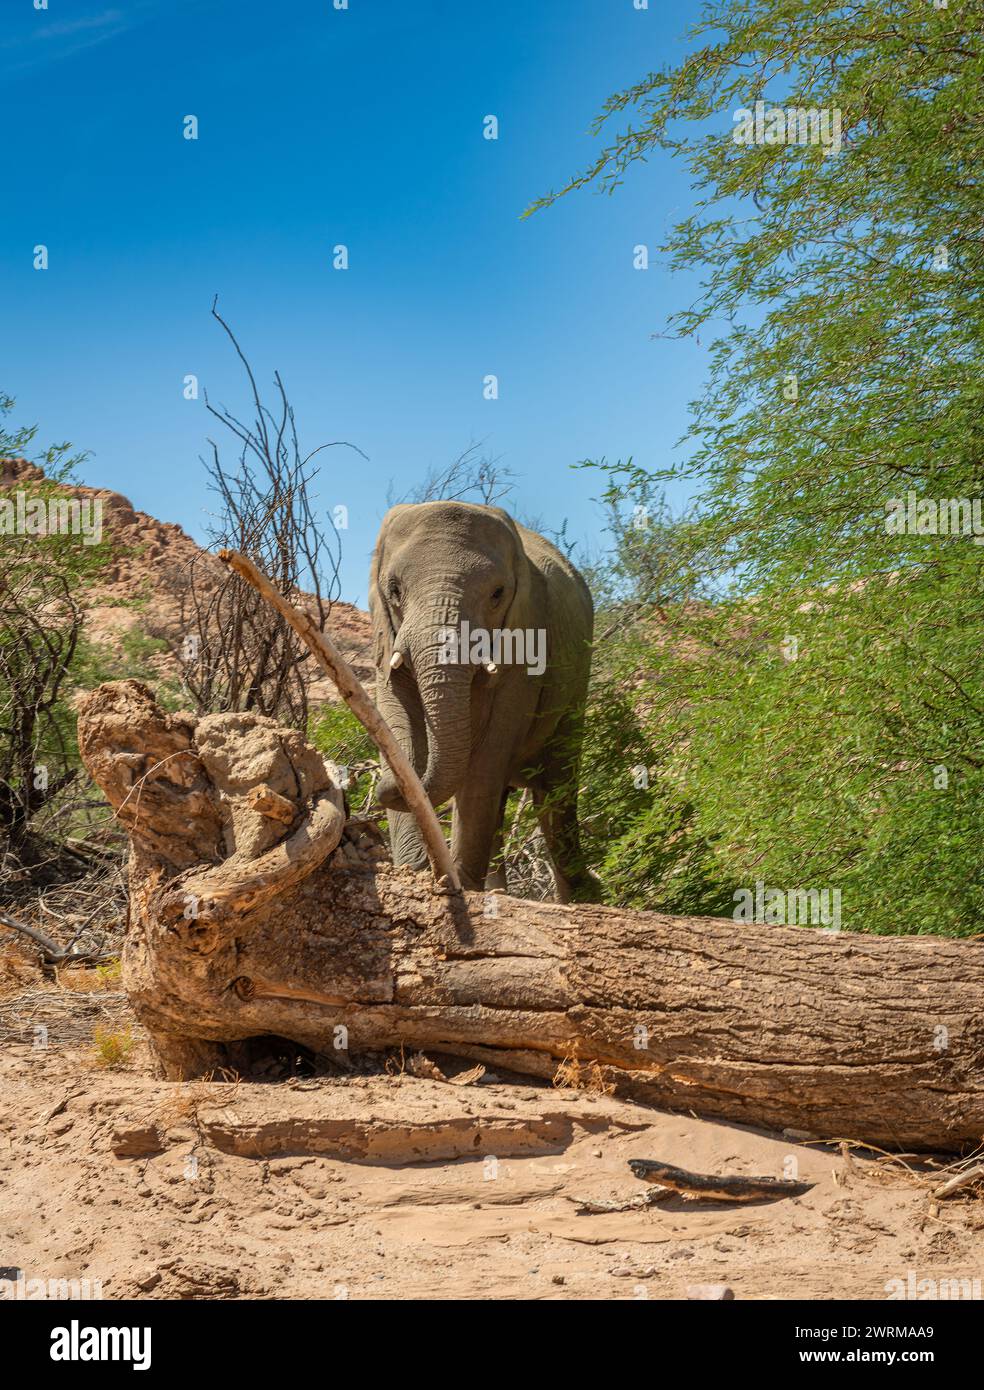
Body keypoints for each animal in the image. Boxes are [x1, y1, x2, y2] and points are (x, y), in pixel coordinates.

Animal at [369, 500, 594, 900]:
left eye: (497, 594)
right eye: (394, 590)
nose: (383, 785)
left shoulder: (525, 642)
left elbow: (487, 756)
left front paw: (456, 882)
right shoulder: (385, 634)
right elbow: (396, 721)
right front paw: (416, 872)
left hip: (576, 688)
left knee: (554, 793)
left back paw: (579, 898)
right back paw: (500, 891)